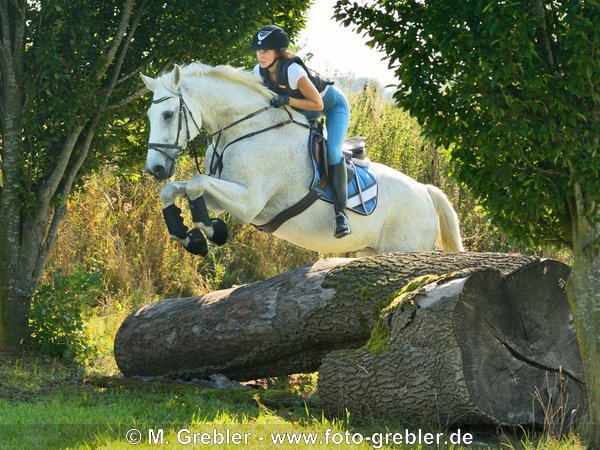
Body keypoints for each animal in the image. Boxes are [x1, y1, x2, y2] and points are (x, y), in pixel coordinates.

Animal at [142, 62, 464, 256]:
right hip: (370, 250)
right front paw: (190, 237)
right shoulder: (223, 195)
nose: (155, 168)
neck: (242, 127)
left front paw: (212, 232)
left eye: (168, 114)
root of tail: (426, 192)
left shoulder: (248, 201)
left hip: (402, 247)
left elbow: (194, 183)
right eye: (149, 115)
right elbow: (174, 190)